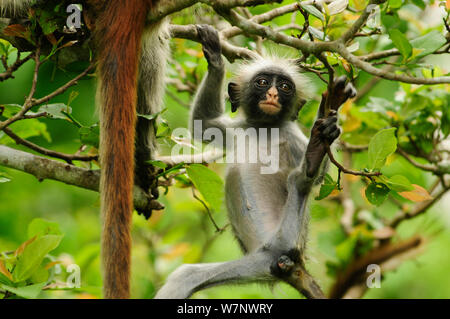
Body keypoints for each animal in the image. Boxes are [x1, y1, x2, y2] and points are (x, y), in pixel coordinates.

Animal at [155, 25, 356, 300]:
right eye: (263, 82)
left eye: (285, 86)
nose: (272, 94)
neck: (265, 128)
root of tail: (279, 261)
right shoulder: (239, 128)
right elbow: (203, 124)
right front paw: (215, 57)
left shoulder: (292, 137)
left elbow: (320, 181)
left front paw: (328, 117)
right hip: (255, 264)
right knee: (184, 276)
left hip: (288, 237)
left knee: (300, 182)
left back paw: (313, 155)